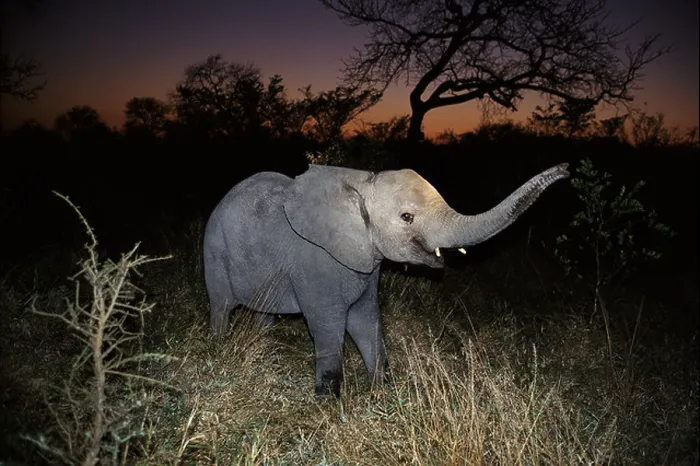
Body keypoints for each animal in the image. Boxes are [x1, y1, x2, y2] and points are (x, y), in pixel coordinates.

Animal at [203, 162, 570, 398]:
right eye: (407, 217)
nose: (567, 169)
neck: (362, 184)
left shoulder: (367, 265)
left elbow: (367, 321)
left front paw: (384, 393)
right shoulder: (314, 262)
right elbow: (328, 326)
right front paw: (329, 406)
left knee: (262, 311)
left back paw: (264, 350)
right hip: (215, 252)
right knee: (222, 306)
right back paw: (220, 349)